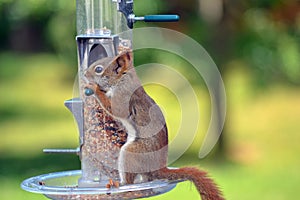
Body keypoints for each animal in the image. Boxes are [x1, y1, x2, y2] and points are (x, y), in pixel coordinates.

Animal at [83, 50, 224, 199]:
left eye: (98, 69)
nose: (84, 74)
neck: (122, 79)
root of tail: (159, 168)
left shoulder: (123, 96)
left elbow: (115, 110)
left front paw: (95, 88)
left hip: (133, 152)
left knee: (129, 181)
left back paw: (118, 184)